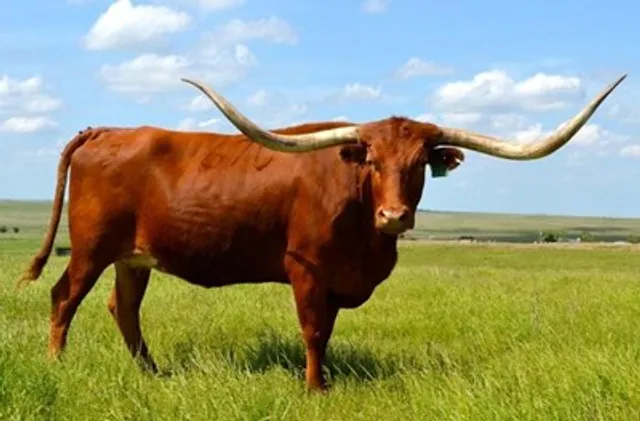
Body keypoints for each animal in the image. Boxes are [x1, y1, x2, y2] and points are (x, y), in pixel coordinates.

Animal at [17, 73, 626, 391]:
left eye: (419, 164)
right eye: (371, 160)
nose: (394, 217)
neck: (363, 230)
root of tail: (107, 130)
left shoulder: (336, 281)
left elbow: (327, 333)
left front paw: (323, 379)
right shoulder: (306, 270)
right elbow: (312, 331)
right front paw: (315, 389)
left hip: (134, 256)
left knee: (123, 308)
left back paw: (153, 373)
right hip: (92, 247)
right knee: (64, 297)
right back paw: (56, 365)